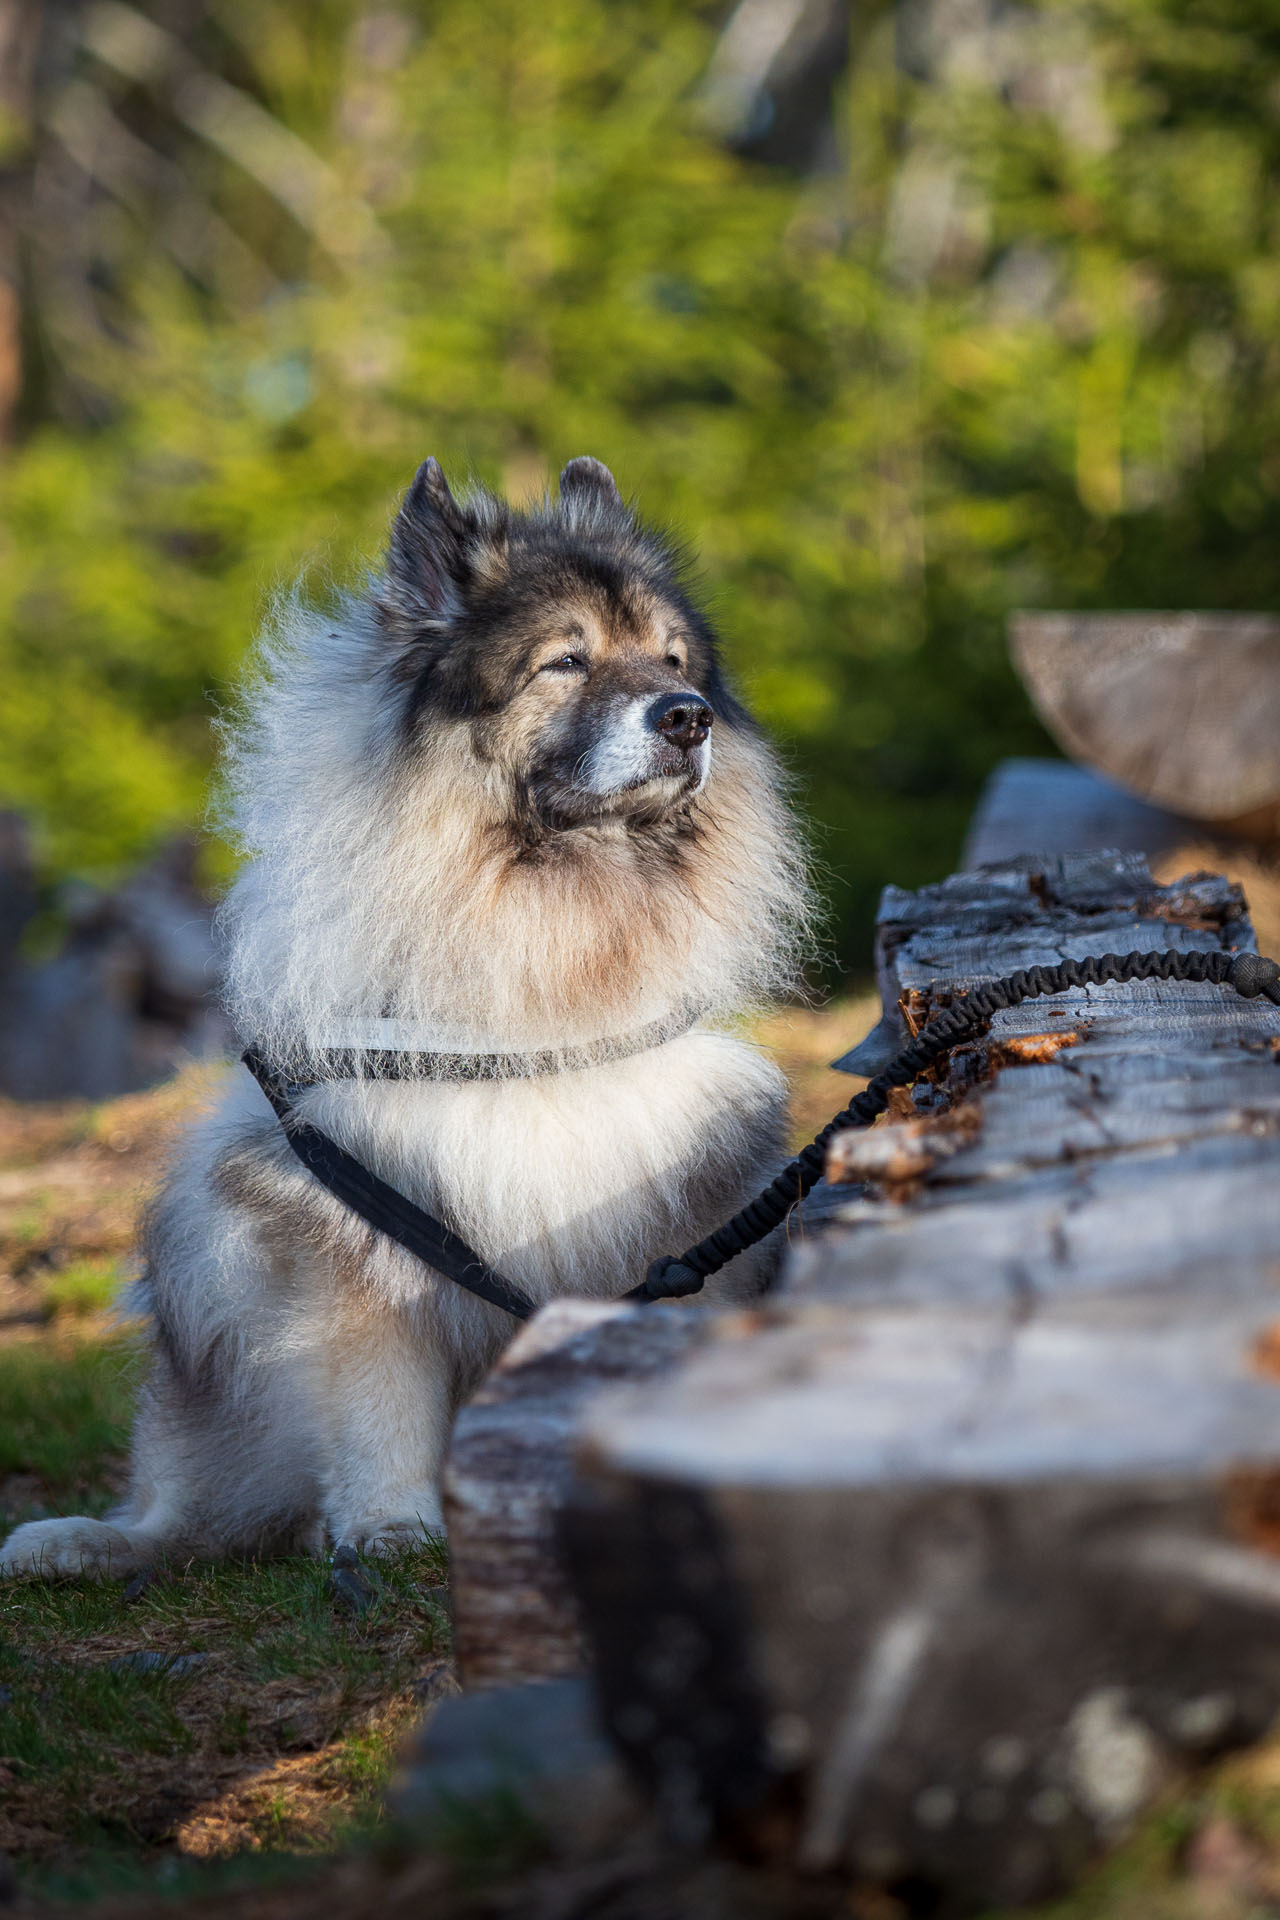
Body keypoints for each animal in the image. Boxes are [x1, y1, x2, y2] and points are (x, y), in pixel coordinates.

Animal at [2, 453, 809, 1574]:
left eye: (673, 658)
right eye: (566, 663)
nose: (686, 716)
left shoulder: (688, 1201)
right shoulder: (350, 1219)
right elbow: (379, 1404)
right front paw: (391, 1528)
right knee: (192, 1511)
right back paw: (89, 1542)